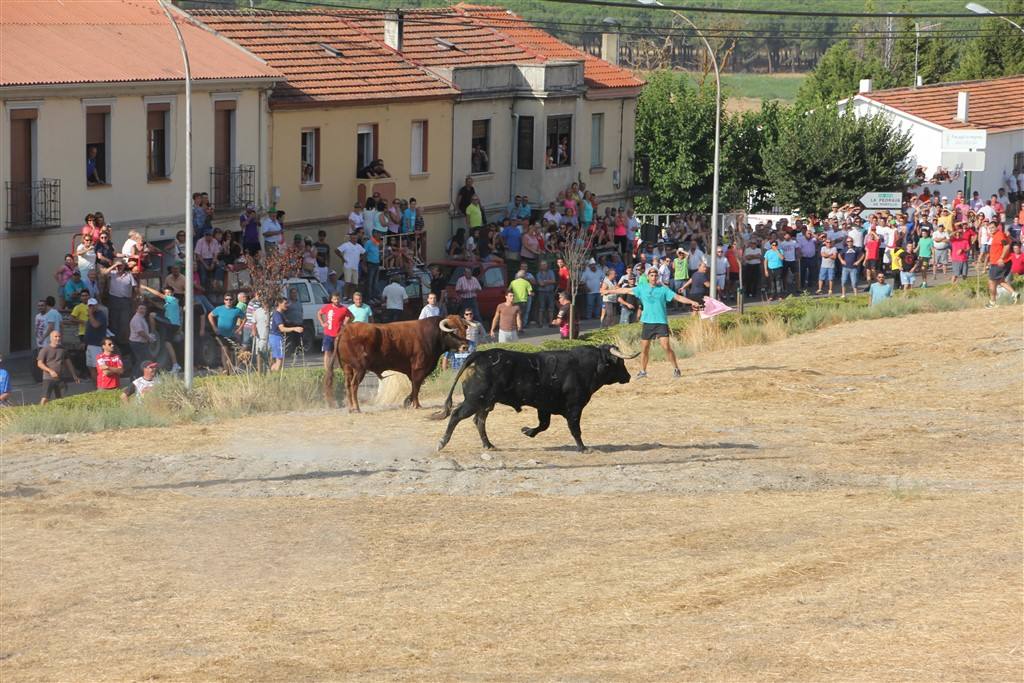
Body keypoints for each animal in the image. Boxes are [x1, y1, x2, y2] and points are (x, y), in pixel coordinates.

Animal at [327, 313, 468, 411]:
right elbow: (416, 385)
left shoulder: (414, 371)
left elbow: (415, 386)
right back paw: (356, 407)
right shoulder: (419, 368)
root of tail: (346, 330)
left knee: (347, 385)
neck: (432, 335)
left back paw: (351, 408)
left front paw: (408, 402)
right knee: (354, 385)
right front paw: (416, 405)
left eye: (464, 329)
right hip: (359, 369)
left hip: (347, 368)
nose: (465, 346)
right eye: (453, 331)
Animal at [434, 348, 638, 454]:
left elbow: (543, 425)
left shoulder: (544, 407)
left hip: (486, 403)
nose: (628, 376)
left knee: (479, 420)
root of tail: (481, 354)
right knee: (457, 415)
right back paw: (442, 442)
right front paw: (583, 448)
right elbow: (575, 429)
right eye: (620, 362)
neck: (584, 366)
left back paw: (489, 445)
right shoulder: (575, 407)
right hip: (474, 400)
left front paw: (527, 431)